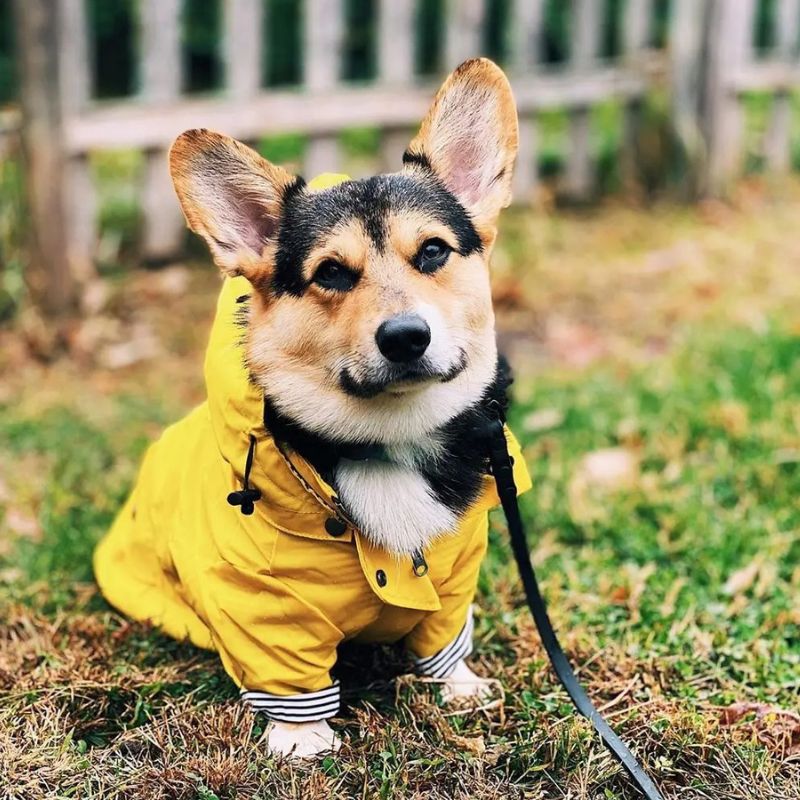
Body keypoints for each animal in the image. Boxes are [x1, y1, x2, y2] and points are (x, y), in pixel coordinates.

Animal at [94, 56, 532, 756]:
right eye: (330, 272)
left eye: (433, 251)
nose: (406, 337)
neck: (388, 440)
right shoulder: (258, 601)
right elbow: (288, 672)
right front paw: (302, 744)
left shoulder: (454, 571)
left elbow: (444, 631)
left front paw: (458, 686)